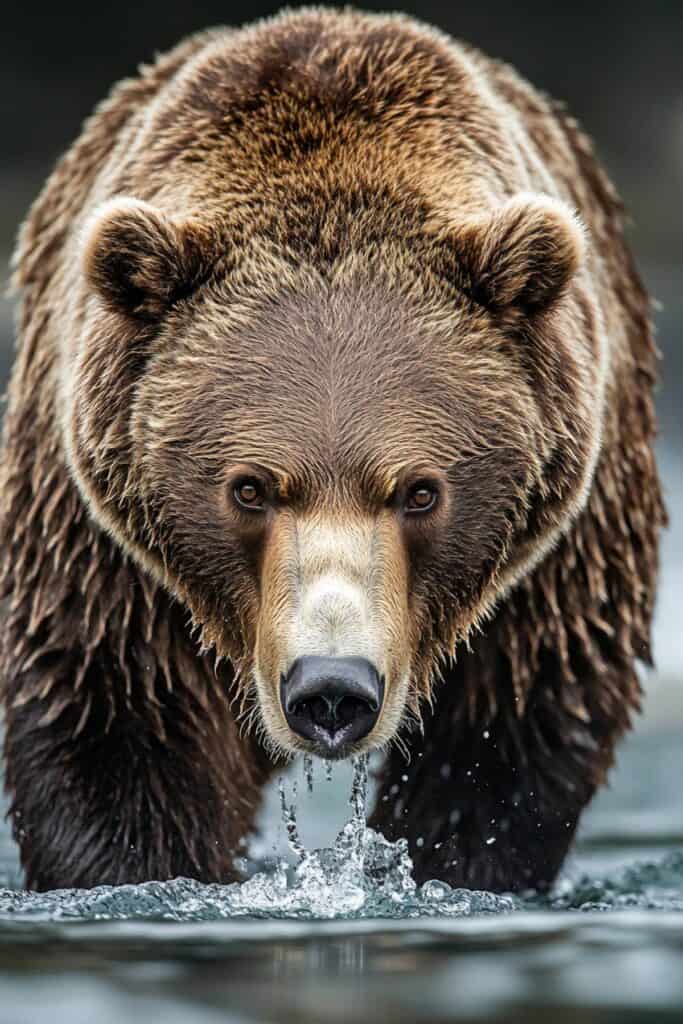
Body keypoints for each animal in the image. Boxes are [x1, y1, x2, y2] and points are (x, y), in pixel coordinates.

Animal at [0, 8, 663, 892]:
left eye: (420, 490)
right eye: (248, 487)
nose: (331, 688)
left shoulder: (555, 560)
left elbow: (506, 740)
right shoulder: (98, 544)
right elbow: (111, 717)